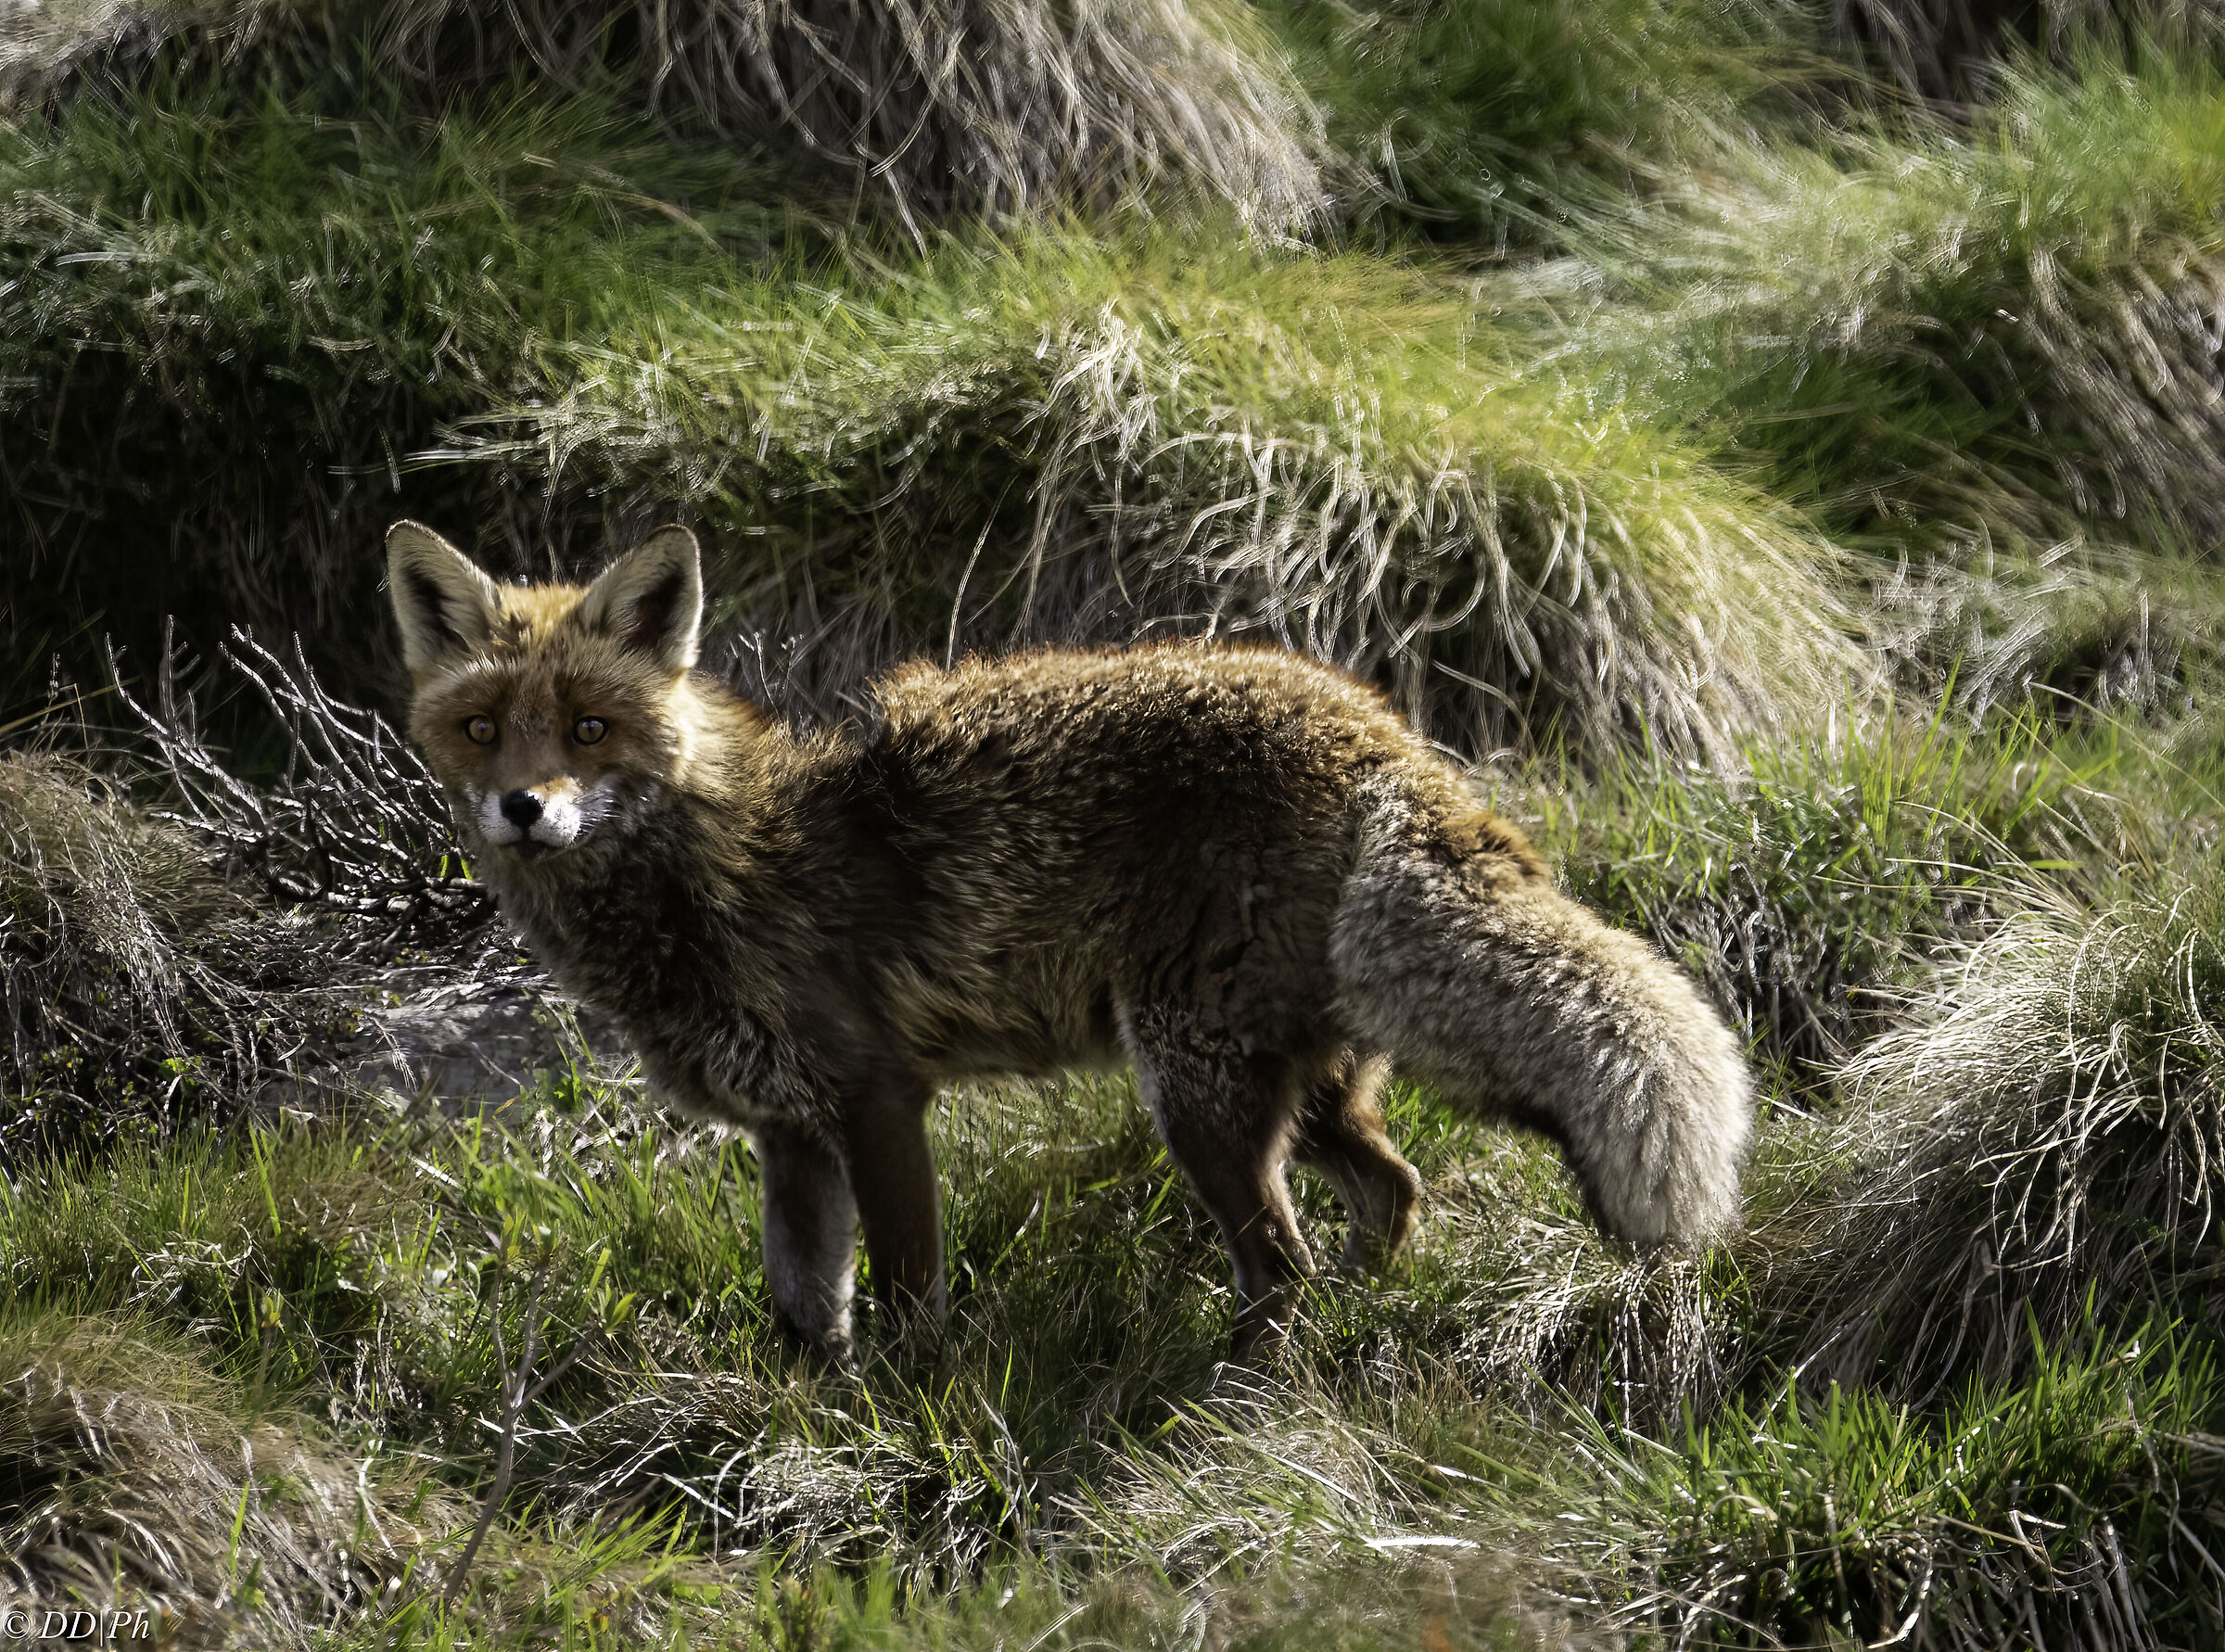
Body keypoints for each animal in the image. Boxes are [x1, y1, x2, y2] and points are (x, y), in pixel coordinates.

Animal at [386, 520, 1754, 1356]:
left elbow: (910, 1301)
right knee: (1392, 1189)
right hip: (1299, 1092)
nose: (525, 809)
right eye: (483, 729)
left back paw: (1231, 1400)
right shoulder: (788, 1133)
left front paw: (909, 1417)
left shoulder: (878, 1097)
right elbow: (806, 1313)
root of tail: (1380, 734)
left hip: (1195, 1089)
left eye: (590, 727)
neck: (714, 865)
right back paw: (1361, 1324)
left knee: (1283, 1265)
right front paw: (816, 1412)